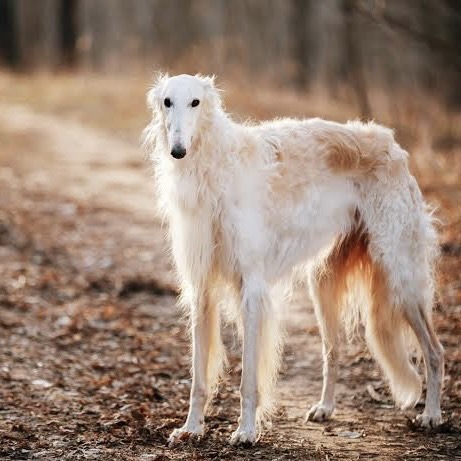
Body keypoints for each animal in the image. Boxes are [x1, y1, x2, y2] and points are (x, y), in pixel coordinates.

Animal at [143, 73, 442, 444]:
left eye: (195, 102)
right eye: (167, 101)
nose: (178, 151)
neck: (214, 168)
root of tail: (393, 145)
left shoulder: (251, 288)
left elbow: (248, 379)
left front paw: (246, 431)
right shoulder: (201, 289)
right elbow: (199, 378)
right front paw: (191, 428)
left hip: (401, 276)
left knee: (435, 351)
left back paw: (432, 414)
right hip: (324, 283)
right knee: (333, 350)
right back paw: (325, 407)